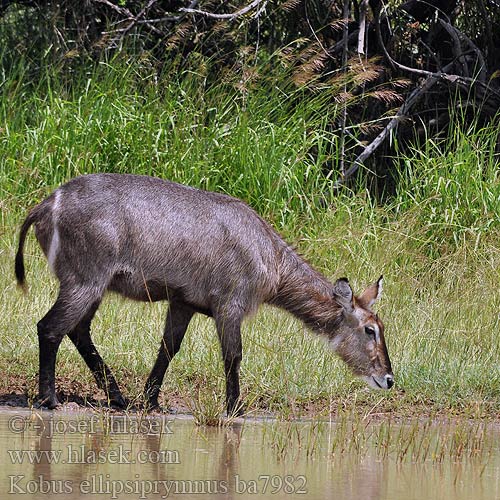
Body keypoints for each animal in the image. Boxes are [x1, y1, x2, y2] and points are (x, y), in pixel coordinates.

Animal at [13, 174, 392, 416]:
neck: (271, 256)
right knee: (50, 327)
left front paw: (151, 401)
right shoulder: (230, 305)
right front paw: (235, 408)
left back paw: (118, 397)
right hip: (85, 280)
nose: (388, 379)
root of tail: (46, 204)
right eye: (370, 329)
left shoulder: (183, 302)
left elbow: (168, 349)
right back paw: (49, 399)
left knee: (78, 330)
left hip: (96, 286)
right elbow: (234, 356)